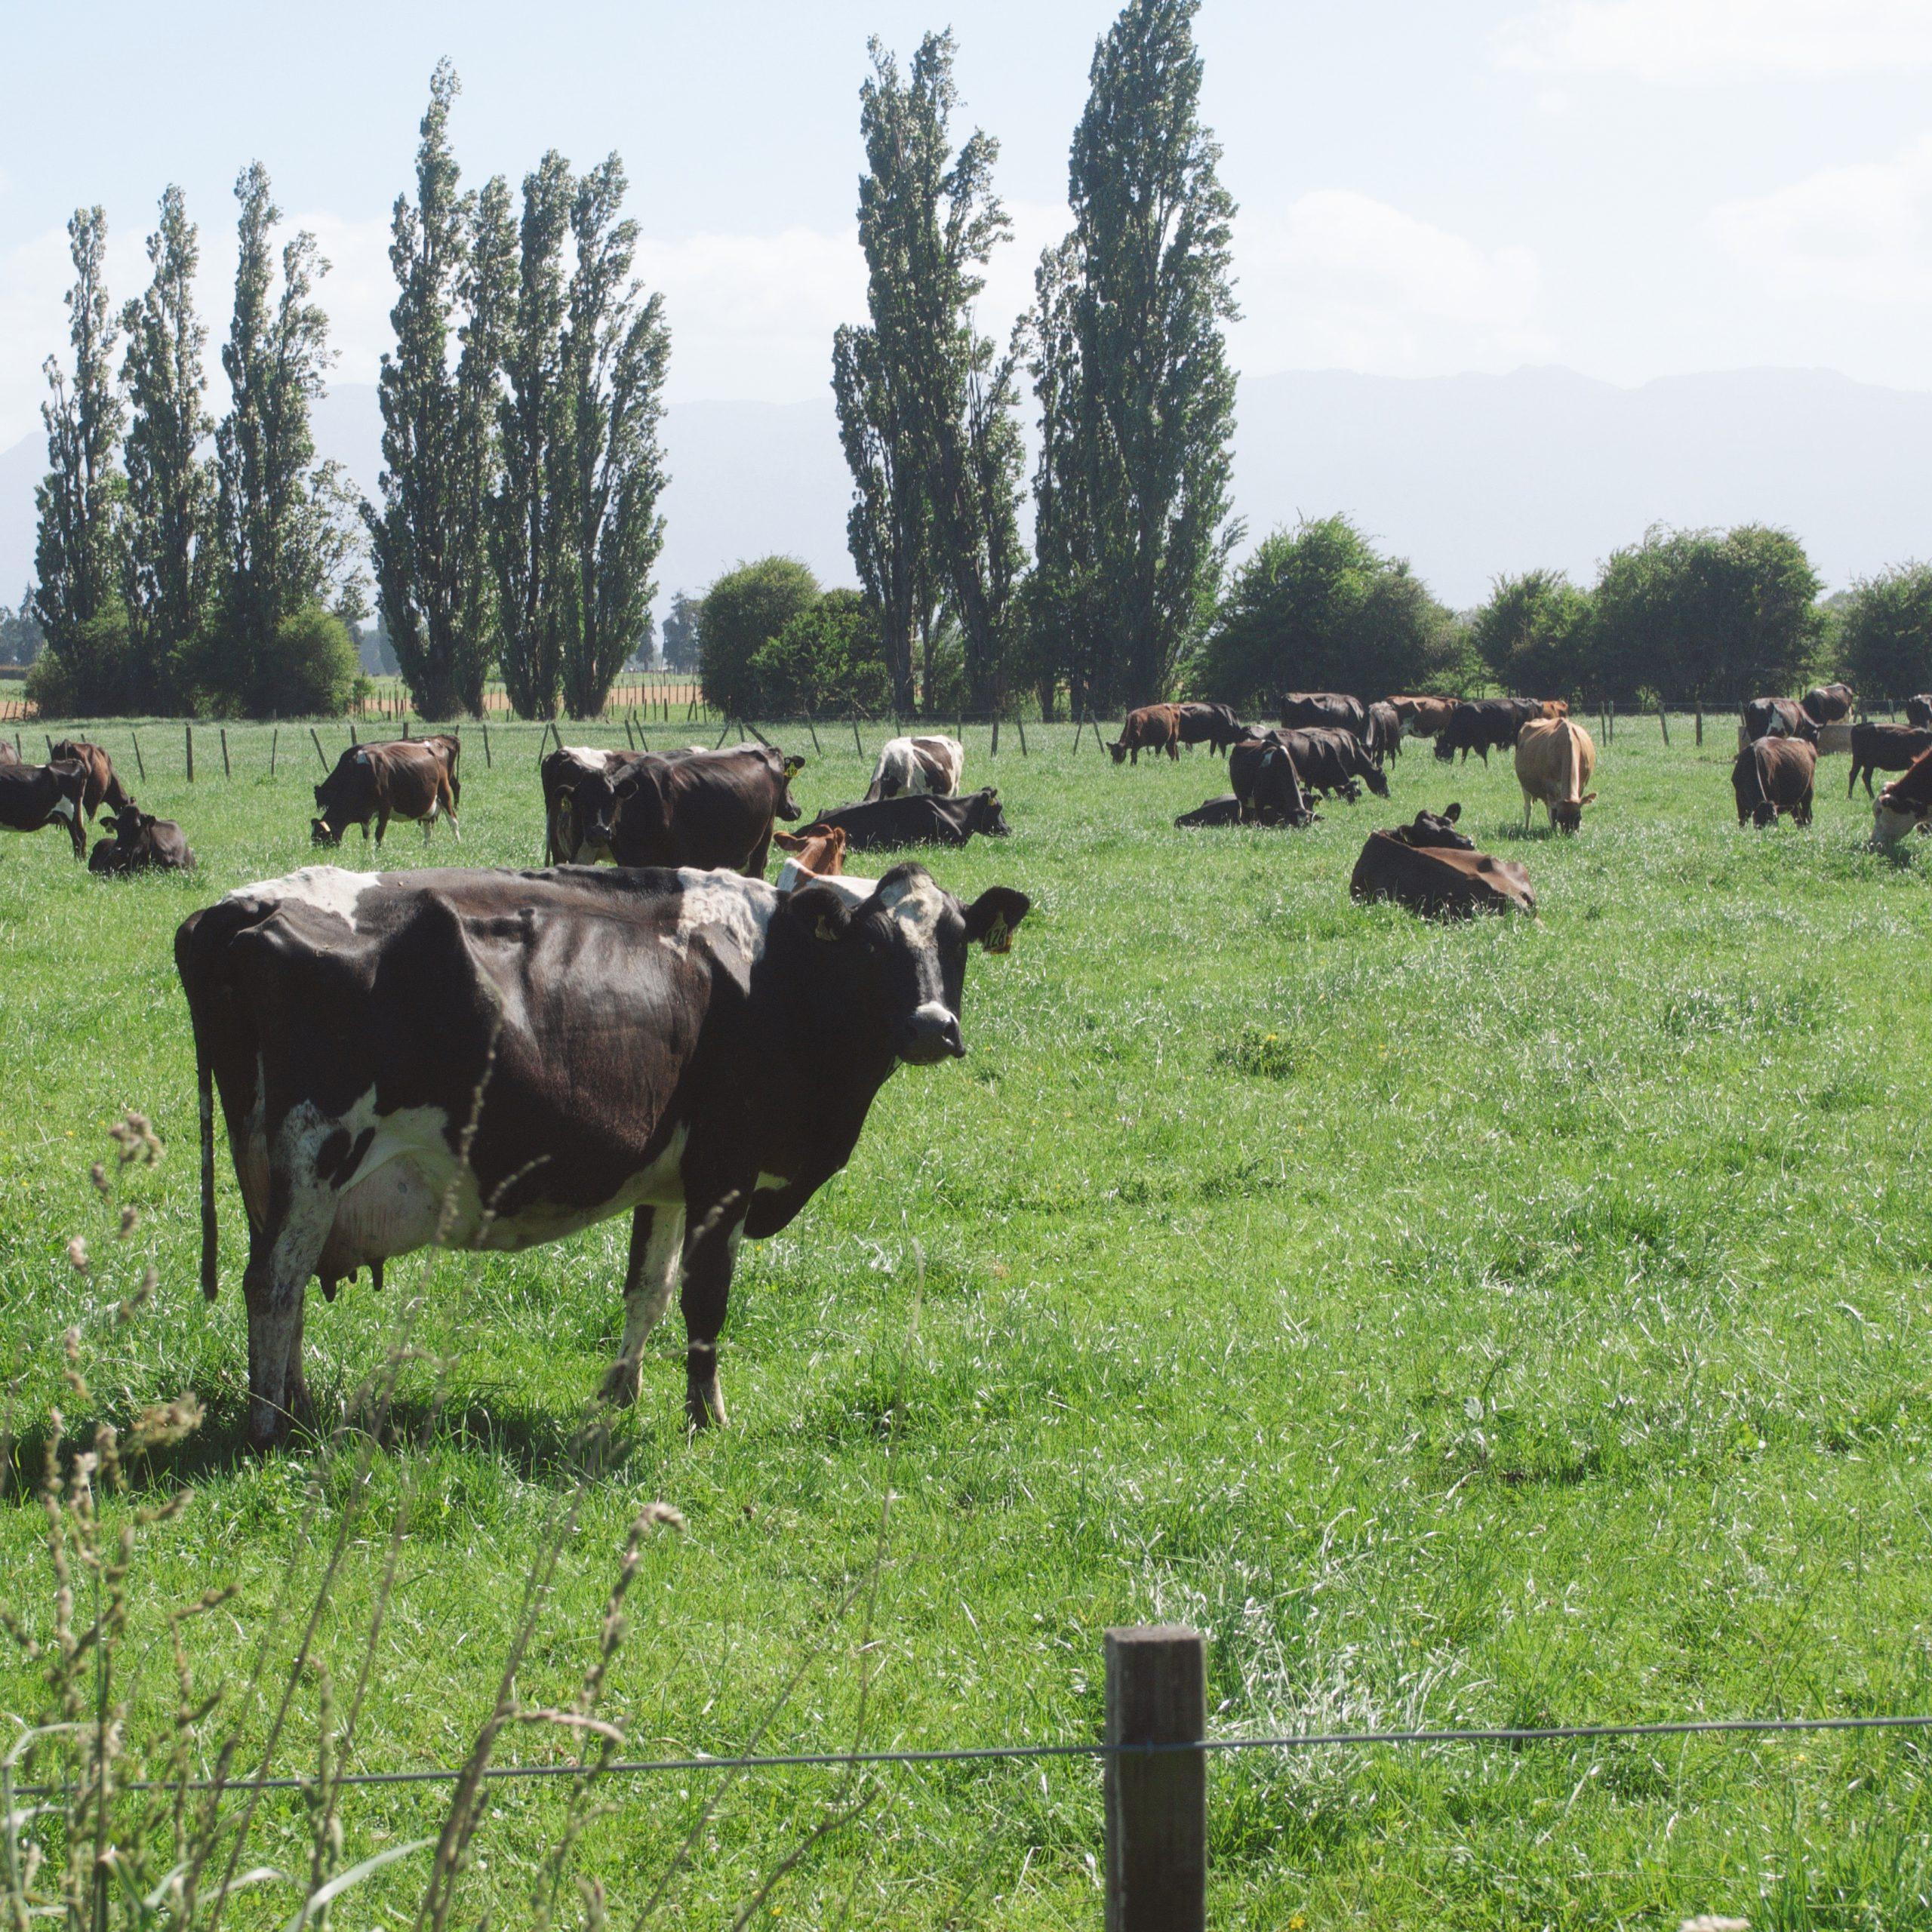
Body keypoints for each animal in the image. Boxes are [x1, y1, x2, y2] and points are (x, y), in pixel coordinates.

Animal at [175, 861, 1031, 1449]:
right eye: (875, 947)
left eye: (956, 940)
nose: (931, 1026)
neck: (778, 974)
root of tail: (246, 904)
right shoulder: (727, 1165)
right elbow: (705, 1297)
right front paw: (705, 1416)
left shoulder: (670, 1178)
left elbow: (647, 1289)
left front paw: (621, 1392)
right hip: (317, 1148)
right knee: (274, 1284)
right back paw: (269, 1425)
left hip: (278, 1175)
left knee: (284, 1282)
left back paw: (297, 1405)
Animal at [312, 736, 461, 846]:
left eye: (321, 839)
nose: (316, 855)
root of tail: (438, 741)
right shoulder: (365, 813)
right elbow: (366, 835)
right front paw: (366, 850)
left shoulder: (385, 807)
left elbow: (379, 834)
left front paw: (376, 853)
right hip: (428, 801)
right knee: (428, 826)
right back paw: (426, 847)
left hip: (444, 791)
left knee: (453, 820)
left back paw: (458, 844)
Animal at [593, 746, 805, 877]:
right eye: (587, 801)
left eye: (614, 801)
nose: (600, 831)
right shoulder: (627, 861)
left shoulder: (680, 857)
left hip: (763, 840)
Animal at [1514, 717, 1598, 832]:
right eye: (1560, 818)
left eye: (1579, 817)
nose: (1569, 834)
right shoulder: (1550, 786)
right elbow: (1552, 812)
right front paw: (1553, 831)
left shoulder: (1582, 784)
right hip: (1524, 785)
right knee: (1528, 807)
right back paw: (1527, 828)